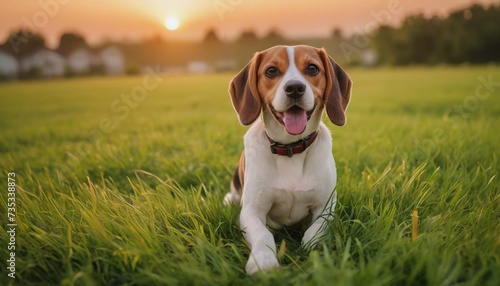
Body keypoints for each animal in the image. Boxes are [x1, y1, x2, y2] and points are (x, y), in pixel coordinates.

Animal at [225, 45, 354, 274]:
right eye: (271, 71)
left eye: (312, 68)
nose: (294, 88)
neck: (290, 147)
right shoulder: (251, 211)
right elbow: (263, 234)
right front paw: (263, 260)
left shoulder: (326, 208)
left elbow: (314, 232)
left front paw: (314, 251)